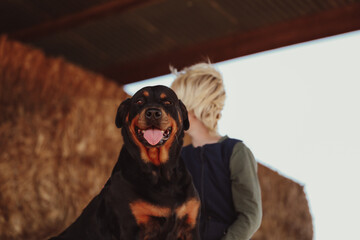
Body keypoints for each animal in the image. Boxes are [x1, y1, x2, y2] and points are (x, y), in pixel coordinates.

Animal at [50, 86, 201, 240]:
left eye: (168, 102)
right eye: (139, 101)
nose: (153, 113)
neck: (160, 173)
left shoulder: (190, 226)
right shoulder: (131, 228)